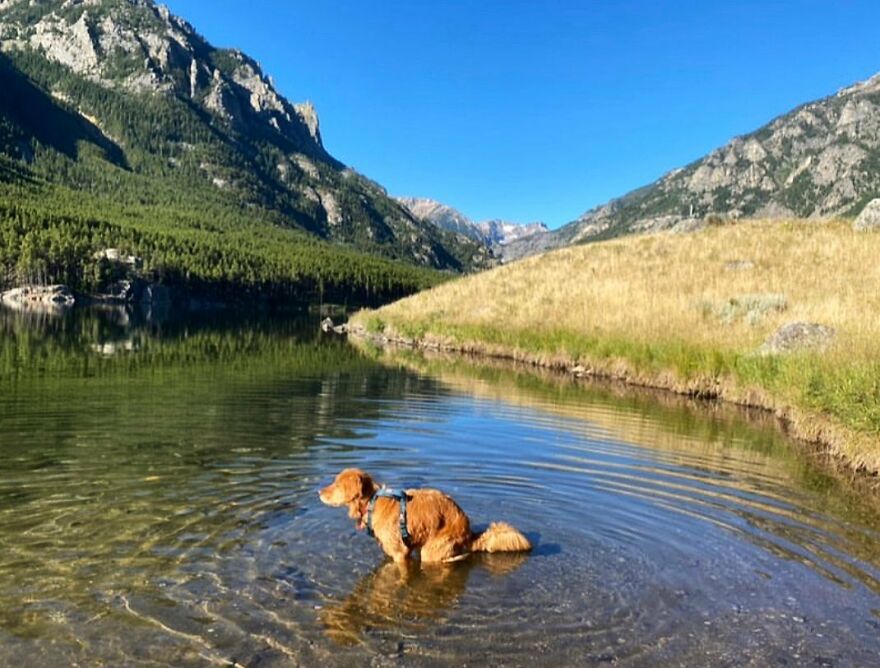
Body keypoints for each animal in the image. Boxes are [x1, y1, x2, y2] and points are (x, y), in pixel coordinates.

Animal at [320, 470, 532, 564]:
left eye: (336, 485)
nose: (319, 492)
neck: (372, 502)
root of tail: (468, 531)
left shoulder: (400, 553)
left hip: (432, 549)